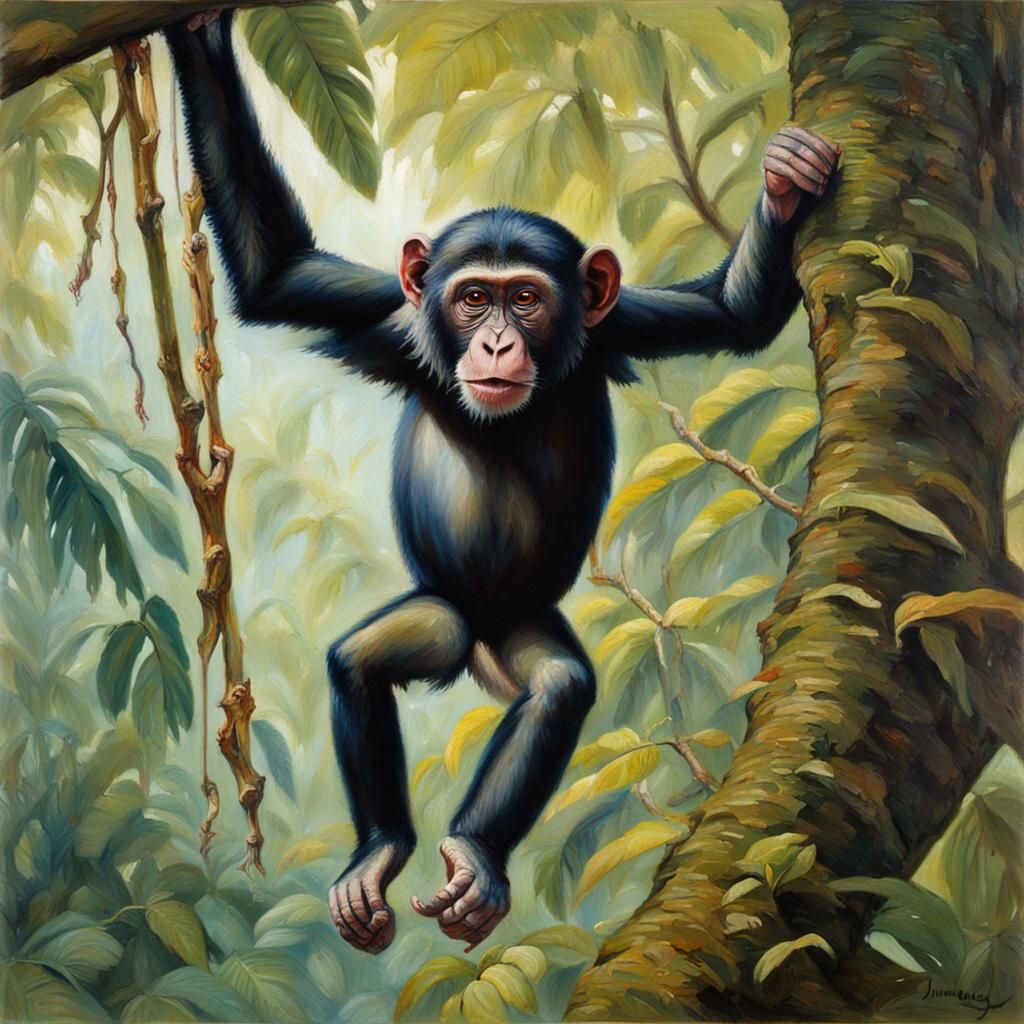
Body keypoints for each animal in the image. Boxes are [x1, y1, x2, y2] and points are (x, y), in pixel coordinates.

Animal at [166, 12, 840, 955]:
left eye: (524, 299)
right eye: (472, 296)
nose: (493, 341)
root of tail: (478, 652)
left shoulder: (617, 325)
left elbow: (733, 316)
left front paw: (788, 178)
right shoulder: (389, 318)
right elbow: (277, 276)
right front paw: (199, 37)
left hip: (524, 627)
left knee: (555, 690)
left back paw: (474, 854)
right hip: (439, 617)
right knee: (359, 665)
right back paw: (381, 852)